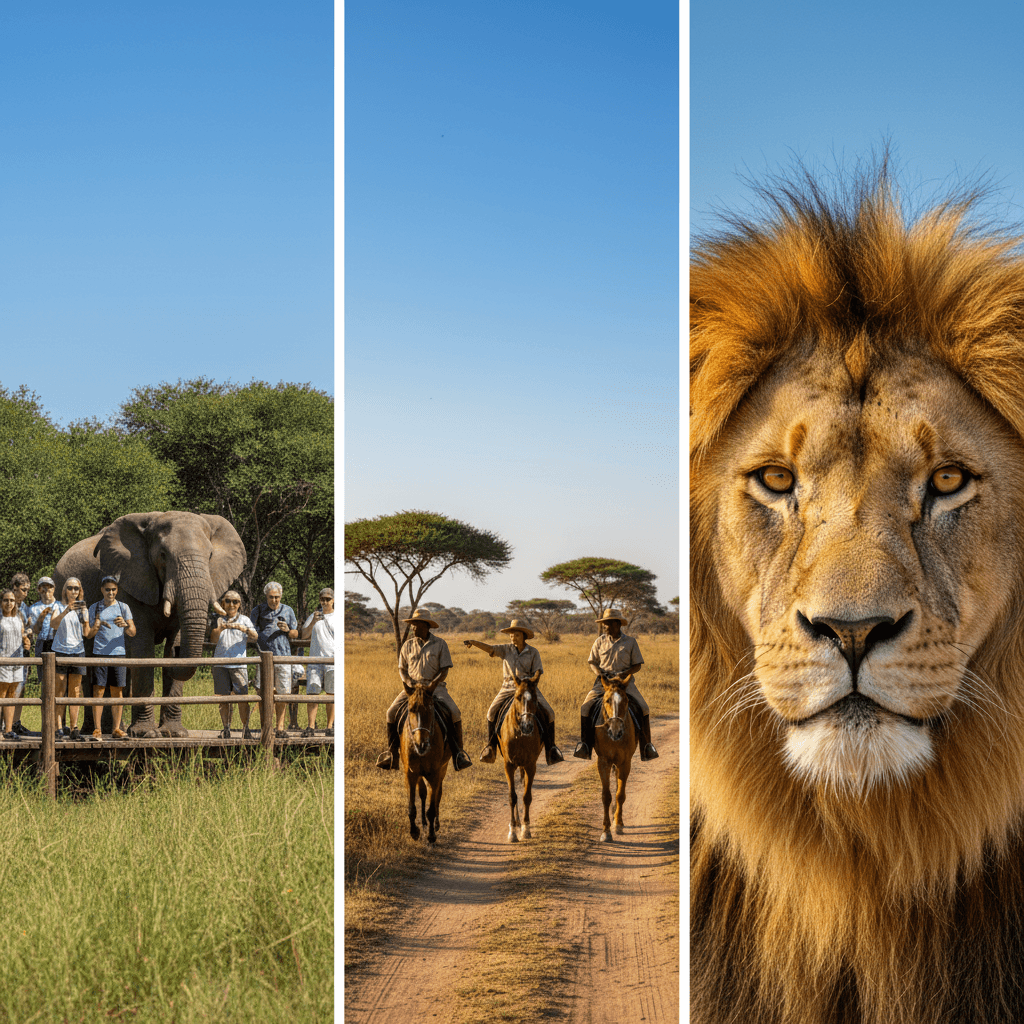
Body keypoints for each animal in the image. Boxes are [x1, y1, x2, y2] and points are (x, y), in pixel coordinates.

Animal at [55, 511, 246, 737]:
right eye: (163, 555)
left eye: (210, 556)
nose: (179, 652)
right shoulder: (130, 579)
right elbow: (142, 648)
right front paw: (146, 734)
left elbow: (173, 639)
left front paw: (174, 734)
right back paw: (95, 730)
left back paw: (117, 729)